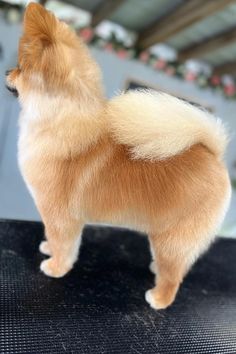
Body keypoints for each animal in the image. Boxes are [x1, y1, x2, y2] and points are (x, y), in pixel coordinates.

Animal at [6, 3, 231, 310]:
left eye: (20, 67)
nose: (7, 72)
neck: (60, 124)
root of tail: (213, 153)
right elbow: (54, 238)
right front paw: (48, 249)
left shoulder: (59, 214)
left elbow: (63, 242)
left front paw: (56, 267)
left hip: (174, 238)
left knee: (174, 276)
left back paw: (158, 298)